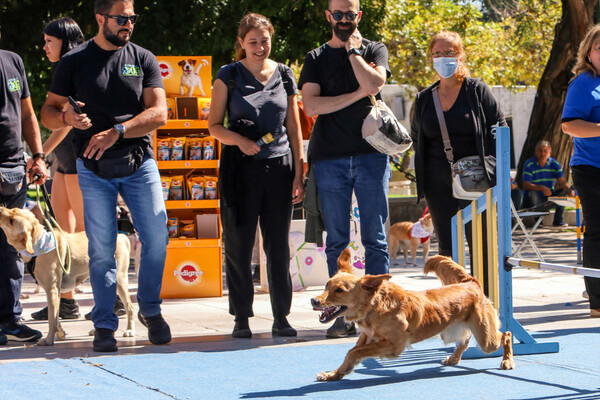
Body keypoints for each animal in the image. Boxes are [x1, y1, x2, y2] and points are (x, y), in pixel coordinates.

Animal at [0, 206, 134, 344]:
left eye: (11, 221)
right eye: (13, 209)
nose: (1, 208)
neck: (38, 244)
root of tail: (121, 237)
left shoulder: (52, 289)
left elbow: (51, 319)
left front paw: (49, 339)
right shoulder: (55, 292)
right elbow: (55, 316)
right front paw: (60, 333)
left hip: (119, 280)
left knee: (130, 308)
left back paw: (129, 330)